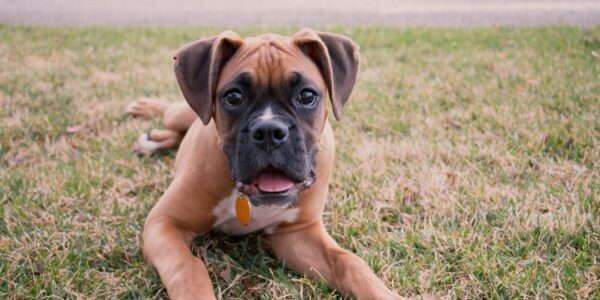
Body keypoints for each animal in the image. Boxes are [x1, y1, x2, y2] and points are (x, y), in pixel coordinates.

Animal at [127, 28, 404, 300]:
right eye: (233, 97)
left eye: (307, 95)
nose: (269, 131)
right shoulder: (164, 223)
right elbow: (188, 267)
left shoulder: (298, 234)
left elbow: (348, 262)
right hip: (181, 114)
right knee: (169, 113)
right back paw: (146, 112)